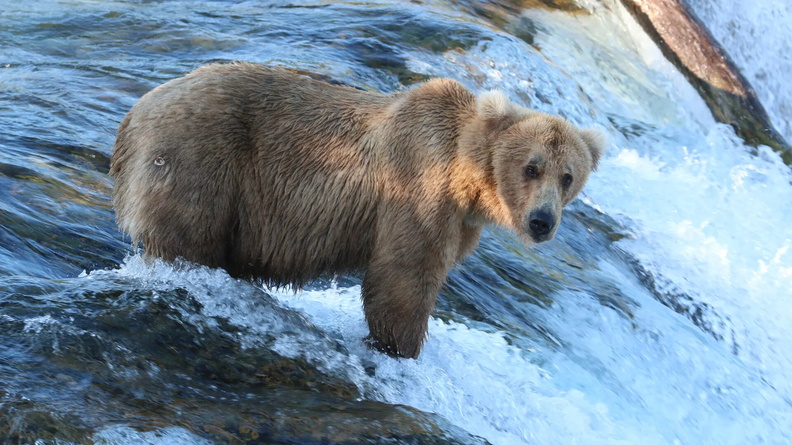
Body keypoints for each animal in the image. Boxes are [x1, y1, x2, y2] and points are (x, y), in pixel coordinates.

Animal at [110, 62, 604, 358]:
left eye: (568, 176)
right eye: (531, 166)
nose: (542, 221)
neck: (469, 180)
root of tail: (135, 114)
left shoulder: (461, 222)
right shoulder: (418, 187)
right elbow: (403, 277)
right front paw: (401, 347)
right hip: (201, 161)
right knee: (187, 240)